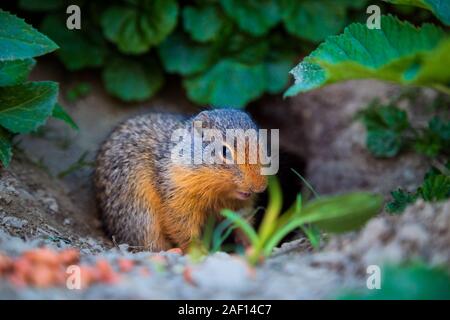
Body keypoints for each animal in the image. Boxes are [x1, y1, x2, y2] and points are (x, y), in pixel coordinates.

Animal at [94, 109, 268, 251]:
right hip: (141, 216)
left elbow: (243, 222)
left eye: (263, 146)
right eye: (224, 151)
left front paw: (251, 243)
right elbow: (182, 229)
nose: (259, 187)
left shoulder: (241, 204)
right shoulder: (178, 199)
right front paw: (198, 252)